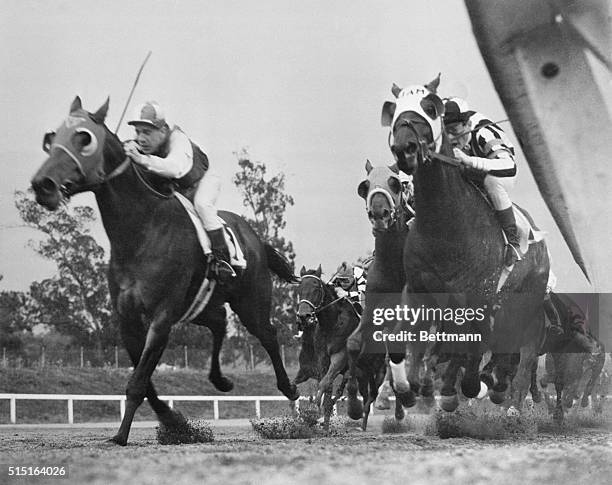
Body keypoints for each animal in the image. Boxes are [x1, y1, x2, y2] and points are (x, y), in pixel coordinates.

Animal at [30, 96, 298, 444]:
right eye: (51, 139)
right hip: (198, 305)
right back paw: (221, 380)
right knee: (219, 322)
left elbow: (138, 381)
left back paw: (291, 391)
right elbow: (143, 382)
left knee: (268, 335)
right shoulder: (128, 320)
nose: (42, 185)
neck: (142, 231)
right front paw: (175, 422)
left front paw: (123, 435)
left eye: (84, 138)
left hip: (251, 302)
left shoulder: (161, 317)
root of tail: (255, 238)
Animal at [382, 75, 548, 412]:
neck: (445, 228)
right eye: (395, 112)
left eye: (430, 108)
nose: (404, 149)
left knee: (514, 359)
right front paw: (407, 388)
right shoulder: (418, 292)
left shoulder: (473, 300)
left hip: (524, 308)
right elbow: (405, 346)